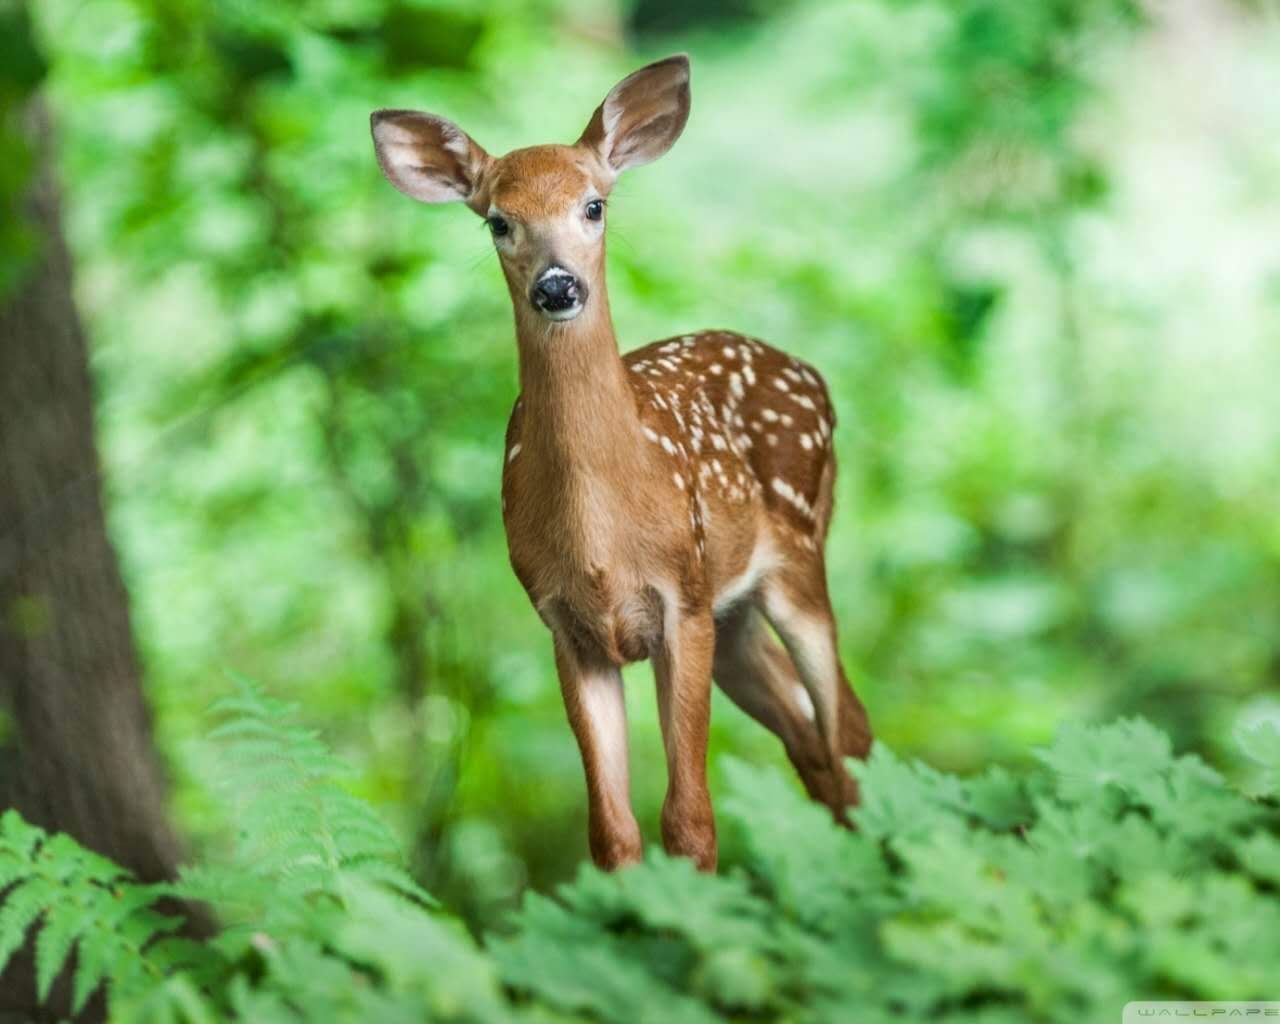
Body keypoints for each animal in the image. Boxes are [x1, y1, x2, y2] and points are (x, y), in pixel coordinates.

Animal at [370, 54, 872, 872]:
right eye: (498, 221)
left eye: (594, 205)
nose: (557, 286)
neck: (603, 535)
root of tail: (812, 374)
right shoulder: (566, 627)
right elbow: (611, 831)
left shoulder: (682, 600)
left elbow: (690, 820)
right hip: (735, 616)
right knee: (811, 741)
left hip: (796, 555)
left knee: (848, 729)